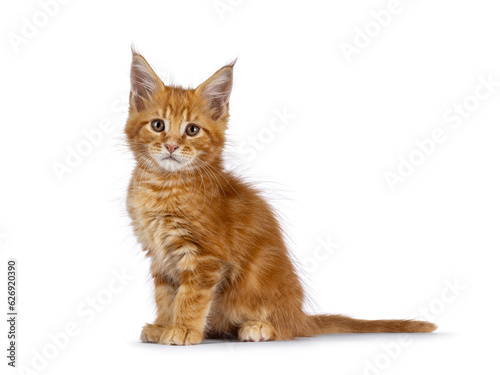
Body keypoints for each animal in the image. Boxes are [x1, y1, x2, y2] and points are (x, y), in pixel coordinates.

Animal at [127, 50, 436, 346]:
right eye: (158, 125)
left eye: (192, 129)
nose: (171, 146)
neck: (163, 185)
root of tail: (299, 315)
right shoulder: (159, 257)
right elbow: (166, 297)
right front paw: (163, 325)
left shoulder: (204, 257)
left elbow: (190, 298)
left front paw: (183, 329)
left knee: (286, 330)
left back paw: (258, 328)